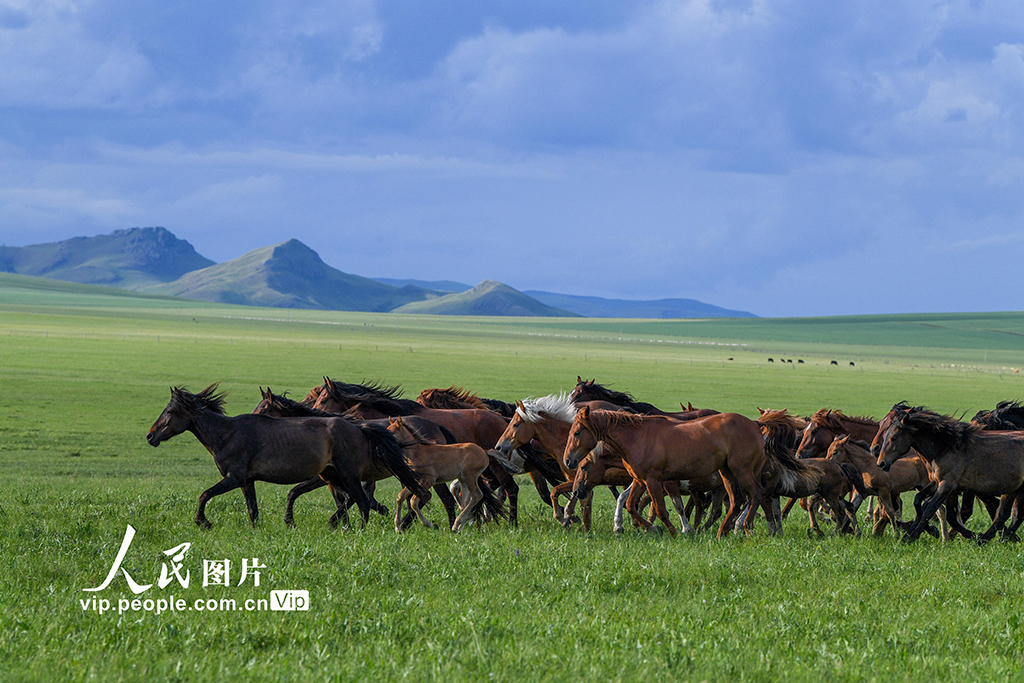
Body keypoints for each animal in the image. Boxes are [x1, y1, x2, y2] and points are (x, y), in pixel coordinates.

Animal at [144, 385, 423, 528]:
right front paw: (257, 531)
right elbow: (253, 510)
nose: (150, 436)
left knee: (362, 502)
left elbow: (204, 494)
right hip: (333, 475)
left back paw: (357, 531)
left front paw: (202, 522)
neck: (226, 433)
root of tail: (358, 427)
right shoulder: (247, 481)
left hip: (347, 475)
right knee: (352, 501)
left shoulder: (234, 478)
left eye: (170, 411)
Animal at [565, 405, 770, 540]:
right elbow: (630, 505)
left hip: (741, 471)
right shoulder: (640, 481)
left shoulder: (654, 481)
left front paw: (674, 531)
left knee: (755, 494)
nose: (568, 460)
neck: (637, 437)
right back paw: (722, 532)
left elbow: (662, 510)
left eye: (577, 432)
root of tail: (755, 425)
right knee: (736, 501)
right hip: (727, 473)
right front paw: (652, 528)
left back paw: (745, 526)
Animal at [868, 403, 1024, 540]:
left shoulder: (948, 485)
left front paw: (913, 536)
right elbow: (919, 500)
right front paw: (916, 532)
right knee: (1007, 514)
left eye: (893, 437)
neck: (944, 448)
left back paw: (987, 538)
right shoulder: (936, 482)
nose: (880, 461)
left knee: (1004, 514)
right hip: (1014, 489)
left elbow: (932, 509)